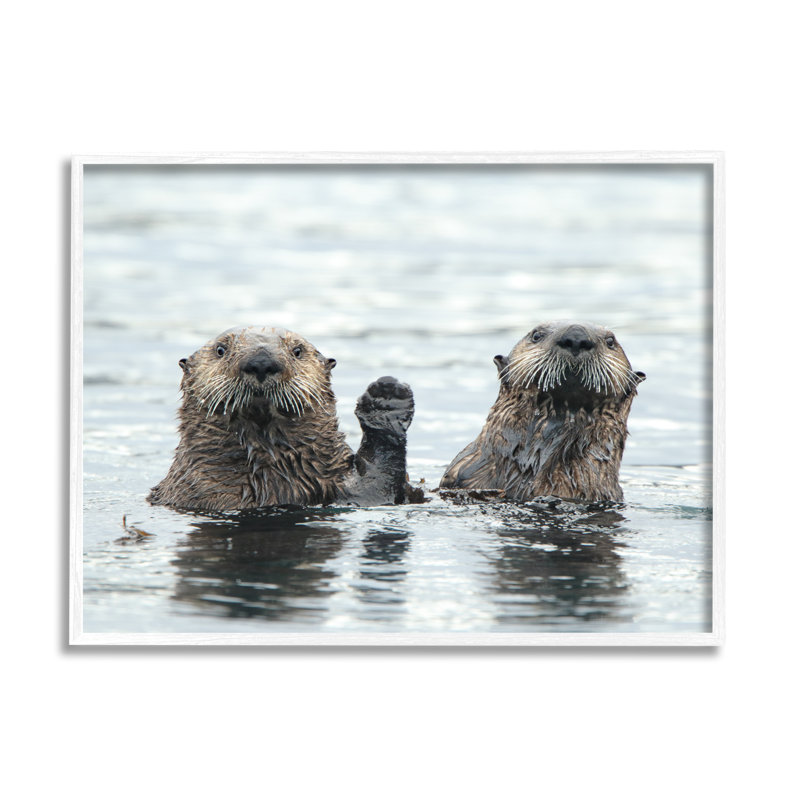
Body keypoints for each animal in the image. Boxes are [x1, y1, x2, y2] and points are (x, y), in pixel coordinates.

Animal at [148, 326, 422, 512]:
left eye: (297, 350)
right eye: (220, 350)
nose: (261, 361)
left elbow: (378, 486)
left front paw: (386, 397)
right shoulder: (201, 489)